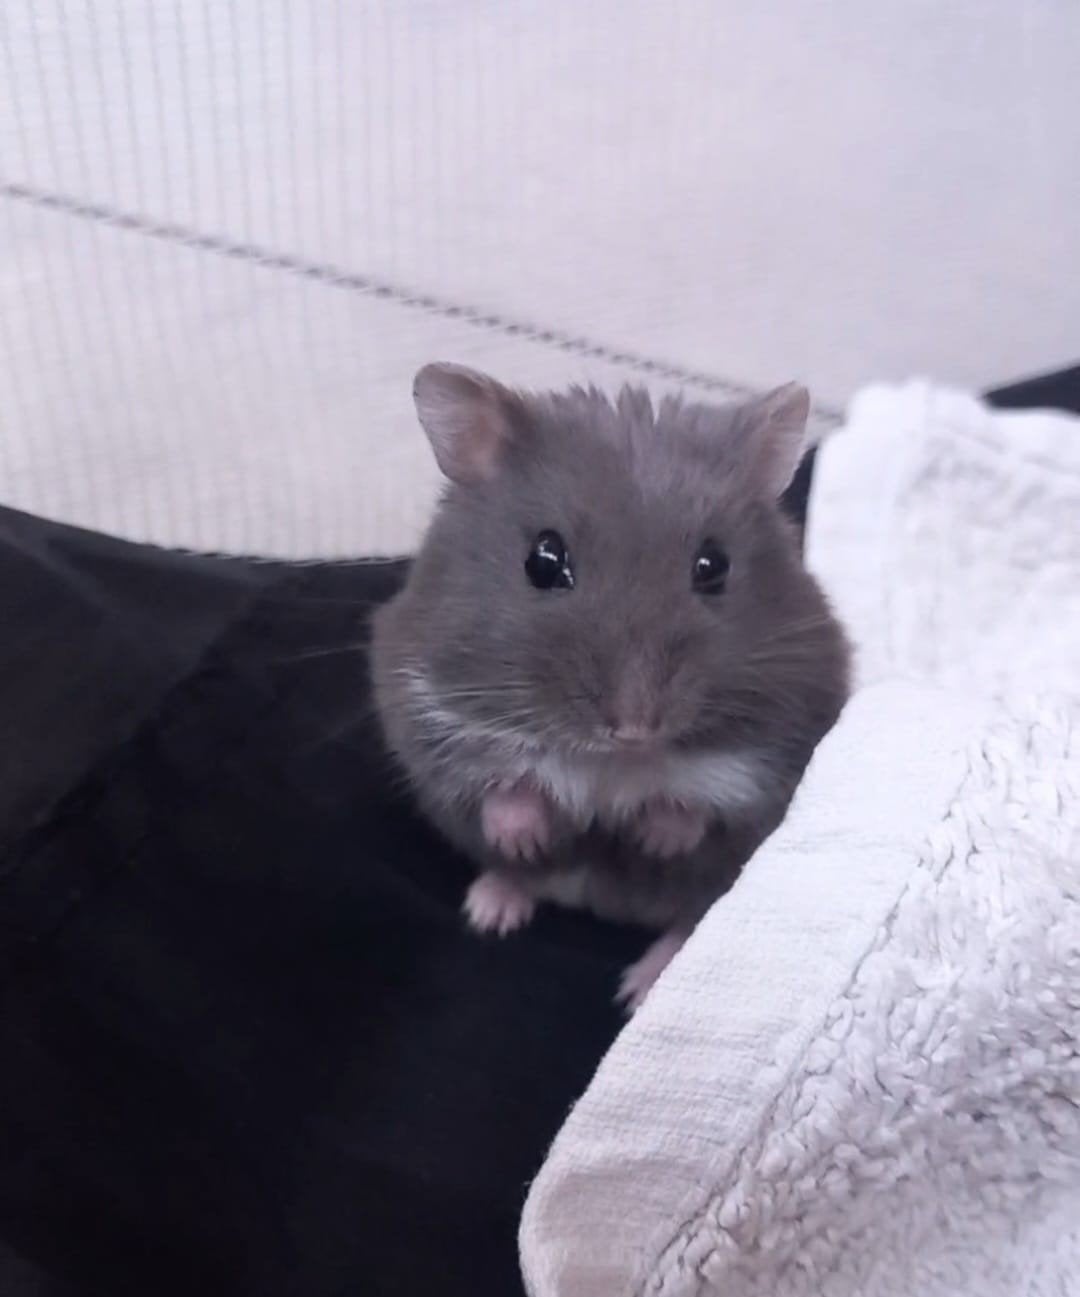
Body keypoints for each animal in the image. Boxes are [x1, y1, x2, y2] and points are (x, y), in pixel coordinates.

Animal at [372, 363, 850, 1008]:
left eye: (714, 566)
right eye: (543, 560)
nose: (634, 726)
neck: (610, 762)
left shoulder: (783, 735)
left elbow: (705, 788)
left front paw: (654, 839)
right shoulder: (424, 696)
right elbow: (500, 779)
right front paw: (524, 839)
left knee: (687, 921)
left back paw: (641, 988)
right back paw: (493, 906)